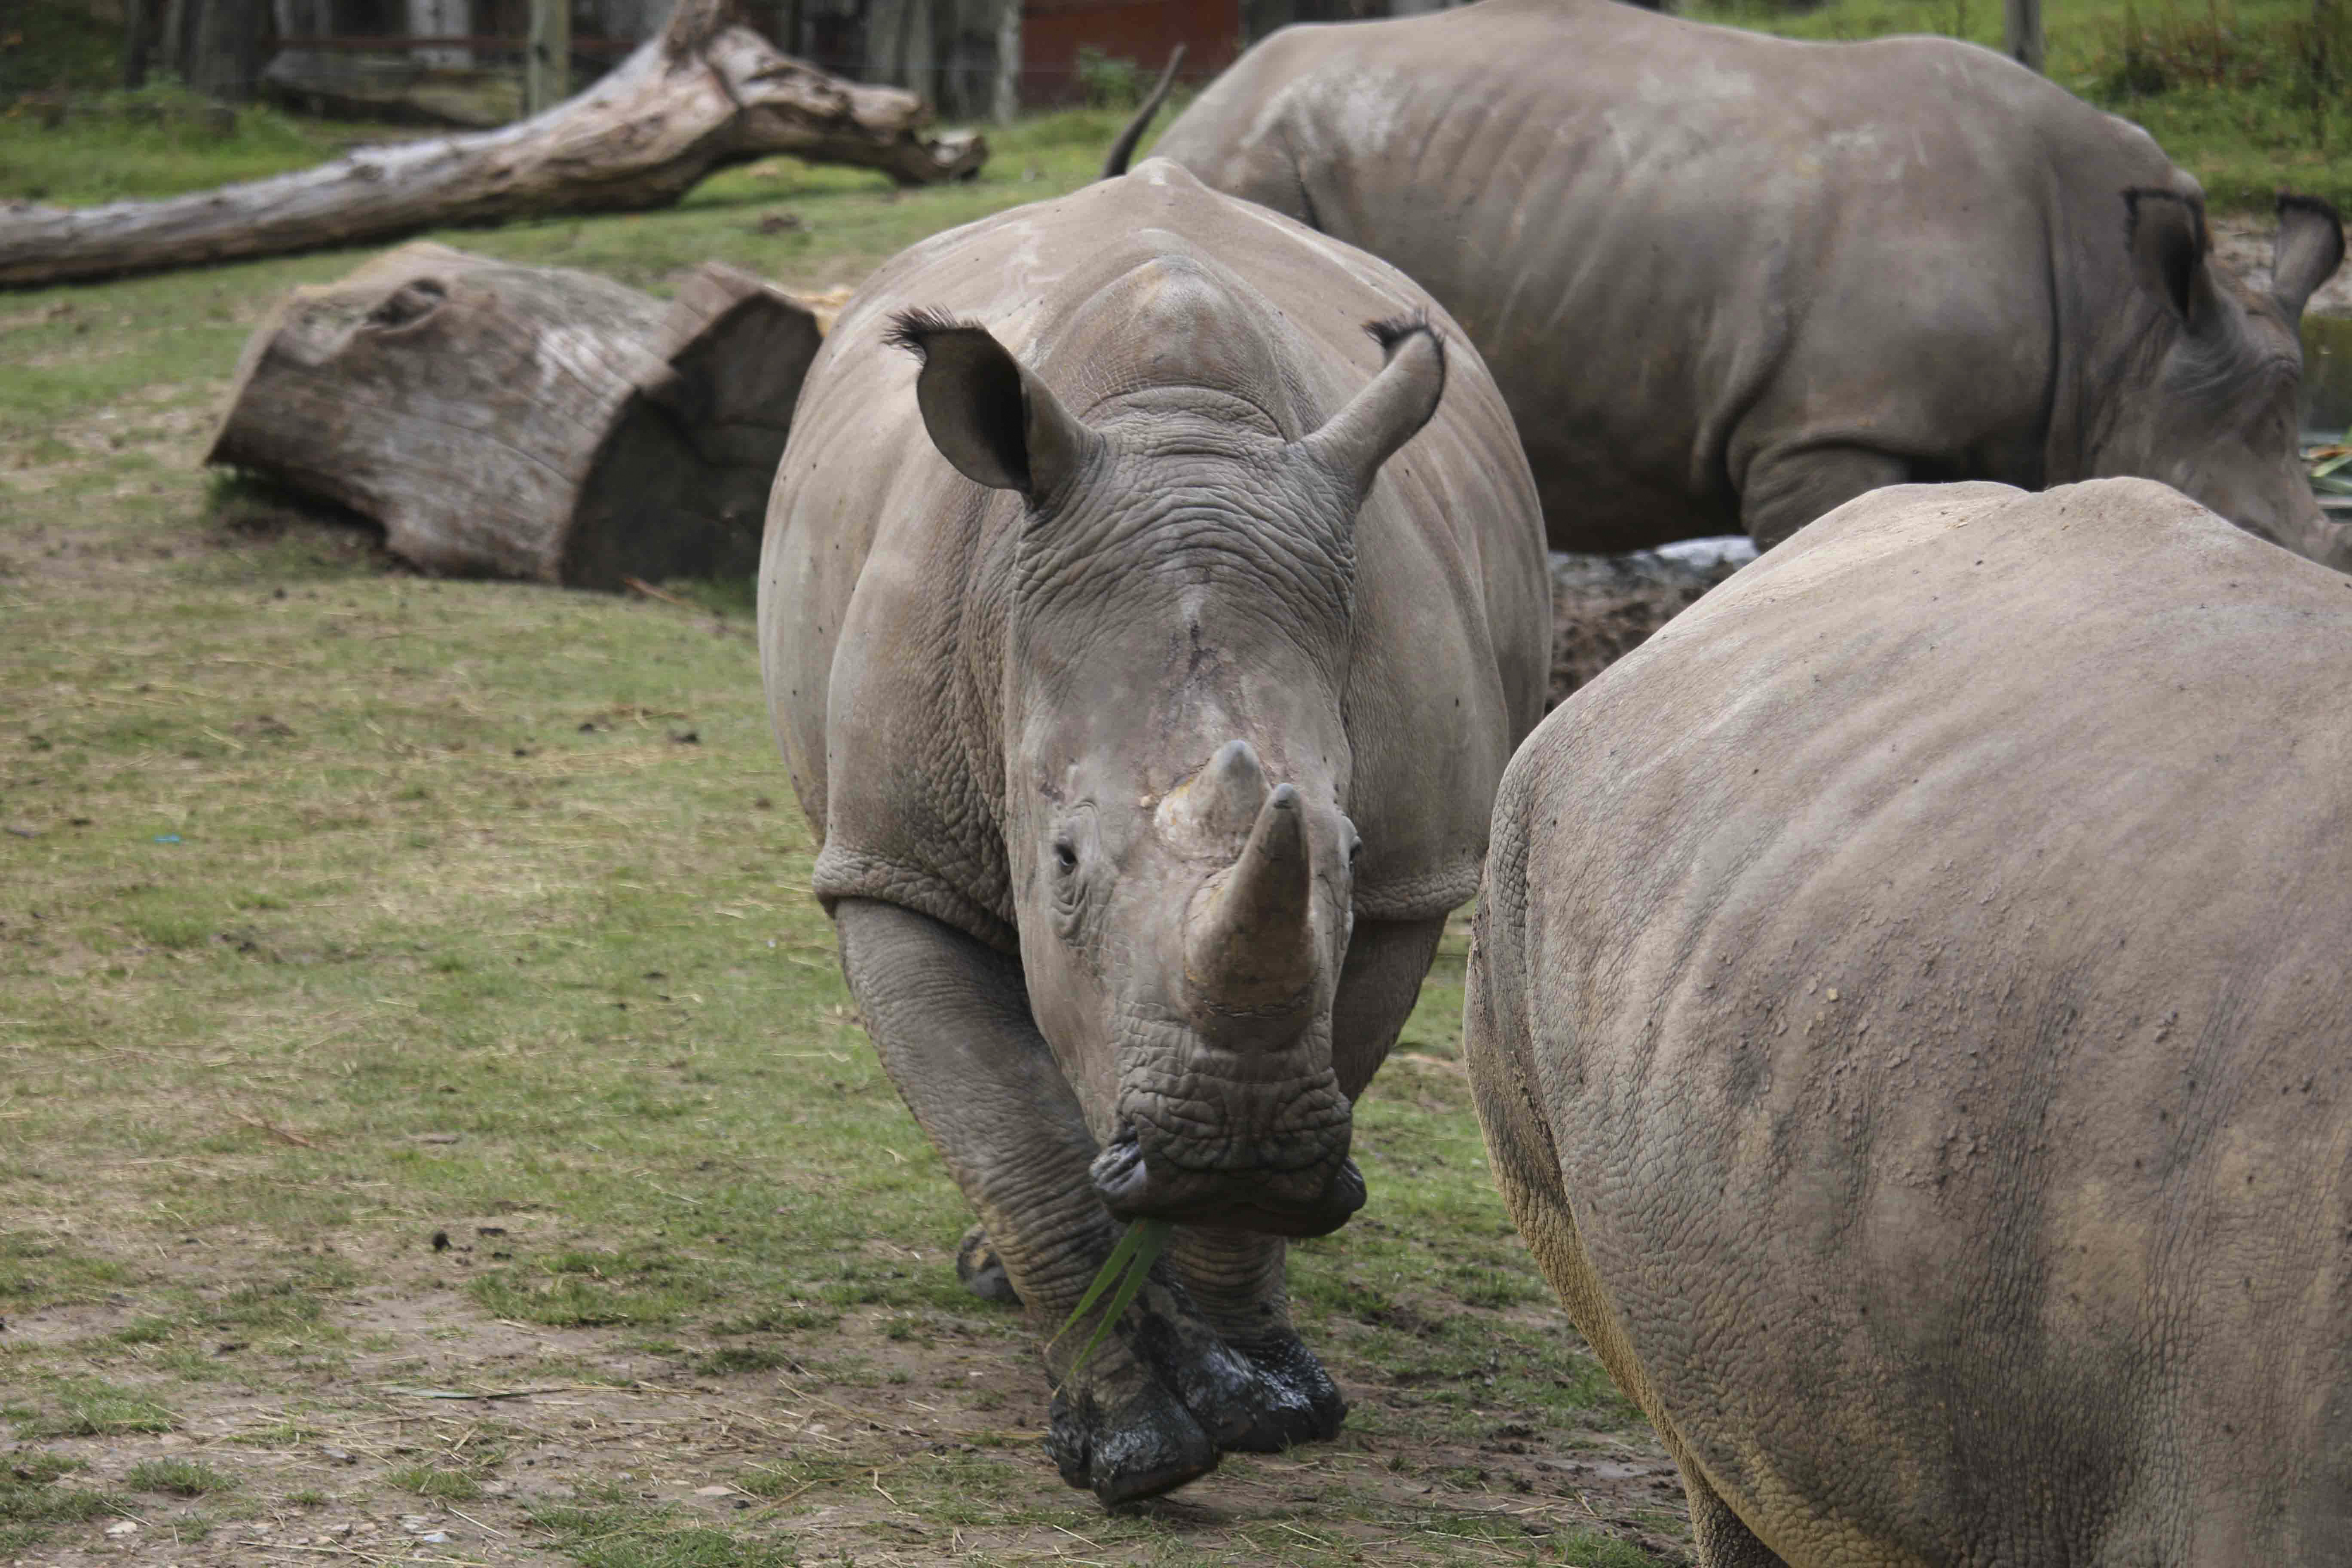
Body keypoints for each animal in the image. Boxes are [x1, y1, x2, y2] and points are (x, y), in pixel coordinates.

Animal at [758, 159, 1549, 1504]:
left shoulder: (1408, 882)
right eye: (1063, 859)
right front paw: (1129, 1447)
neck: (1180, 433)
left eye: (1343, 849)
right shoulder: (892, 864)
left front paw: (1261, 1398)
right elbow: (1013, 1146)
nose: (1232, 1143)